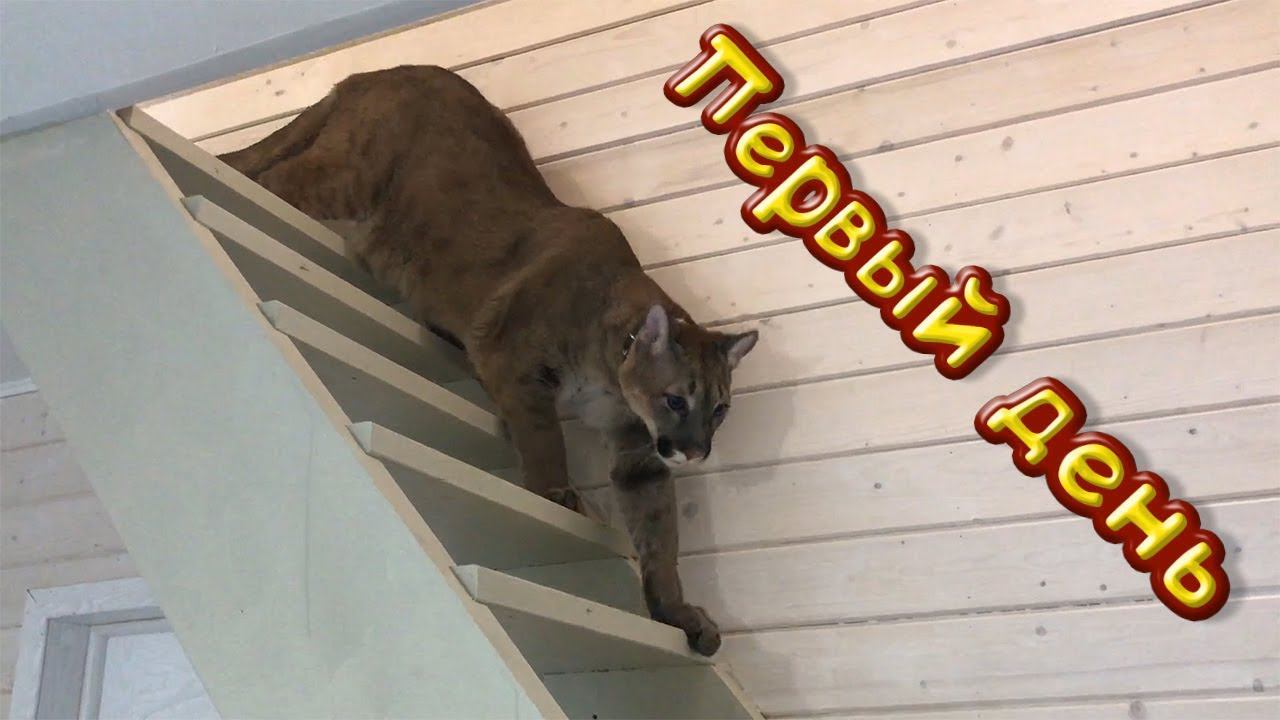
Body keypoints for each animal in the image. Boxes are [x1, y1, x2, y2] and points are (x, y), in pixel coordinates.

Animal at [219, 65, 757, 655]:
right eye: (677, 400)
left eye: (720, 409)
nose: (697, 451)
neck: (609, 368)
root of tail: (373, 72)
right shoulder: (513, 355)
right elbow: (544, 437)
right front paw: (557, 494)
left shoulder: (638, 449)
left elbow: (660, 536)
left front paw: (679, 613)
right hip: (349, 175)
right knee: (278, 176)